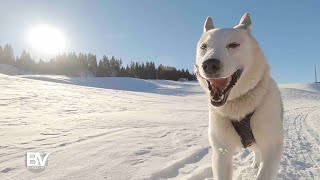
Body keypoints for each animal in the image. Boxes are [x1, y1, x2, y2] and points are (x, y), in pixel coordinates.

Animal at [195, 13, 282, 180]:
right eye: (204, 47)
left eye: (233, 45)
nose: (210, 64)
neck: (239, 106)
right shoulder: (221, 153)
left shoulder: (272, 148)